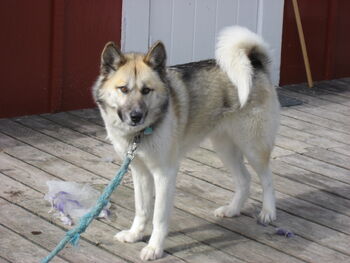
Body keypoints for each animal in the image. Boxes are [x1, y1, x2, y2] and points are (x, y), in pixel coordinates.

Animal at [93, 25, 278, 260]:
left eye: (146, 90)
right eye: (123, 89)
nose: (135, 116)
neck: (140, 133)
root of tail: (255, 64)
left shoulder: (164, 174)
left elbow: (159, 216)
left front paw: (154, 248)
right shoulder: (140, 171)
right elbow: (142, 209)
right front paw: (135, 235)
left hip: (253, 147)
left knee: (267, 179)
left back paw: (268, 212)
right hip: (224, 148)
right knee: (244, 180)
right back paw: (231, 210)